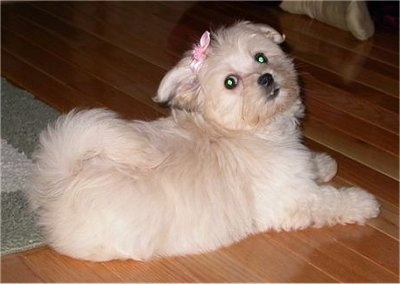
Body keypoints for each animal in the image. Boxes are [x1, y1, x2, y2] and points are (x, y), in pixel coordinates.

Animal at [28, 21, 382, 262]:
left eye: (262, 58)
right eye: (231, 83)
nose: (267, 78)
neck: (243, 131)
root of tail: (62, 175)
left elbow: (308, 164)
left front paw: (321, 163)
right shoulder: (293, 199)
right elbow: (329, 201)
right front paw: (362, 201)